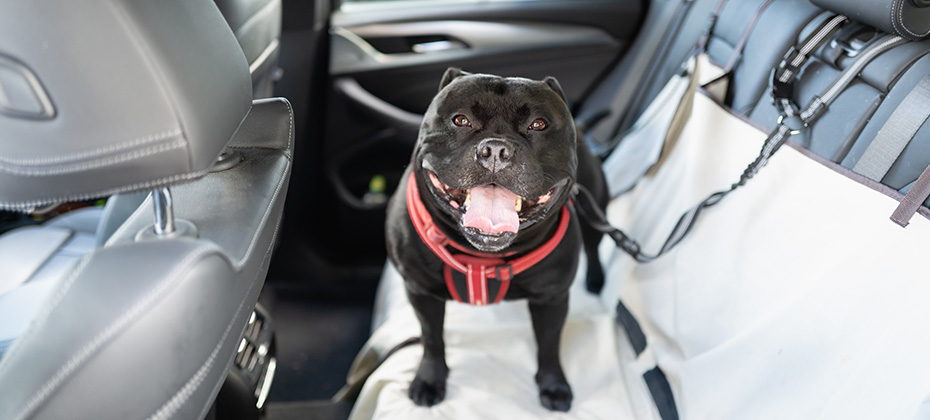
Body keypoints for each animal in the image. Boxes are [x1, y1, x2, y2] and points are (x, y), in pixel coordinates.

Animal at [384, 67, 608, 412]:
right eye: (460, 120)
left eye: (538, 124)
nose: (496, 150)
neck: (482, 256)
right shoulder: (420, 291)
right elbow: (432, 338)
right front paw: (430, 379)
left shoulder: (552, 298)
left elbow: (549, 344)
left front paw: (553, 385)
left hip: (595, 208)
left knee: (595, 246)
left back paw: (596, 280)